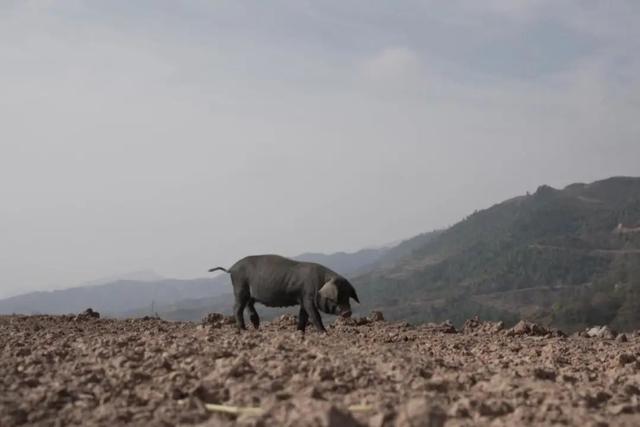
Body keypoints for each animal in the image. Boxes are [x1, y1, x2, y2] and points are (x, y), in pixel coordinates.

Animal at [210, 256, 360, 332]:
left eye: (347, 296)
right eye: (335, 297)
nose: (348, 312)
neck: (320, 284)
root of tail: (231, 268)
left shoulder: (302, 299)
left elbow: (303, 316)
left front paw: (300, 332)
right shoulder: (307, 296)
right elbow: (315, 315)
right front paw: (324, 333)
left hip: (249, 294)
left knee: (250, 309)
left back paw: (257, 328)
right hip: (240, 287)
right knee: (236, 308)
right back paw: (243, 330)